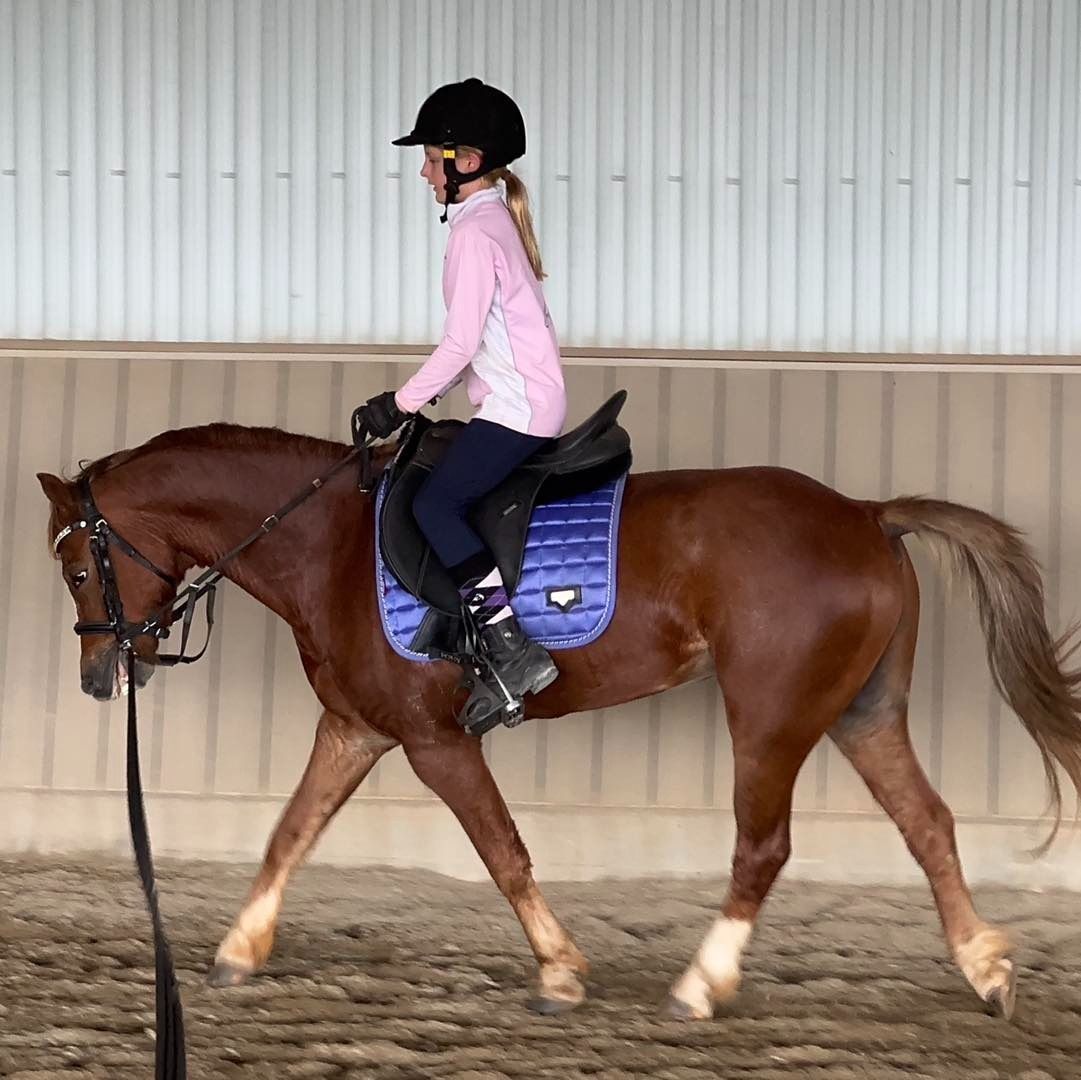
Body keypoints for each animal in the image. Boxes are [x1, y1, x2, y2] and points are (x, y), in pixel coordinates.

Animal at [37, 418, 1081, 1022]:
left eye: (79, 566)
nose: (98, 676)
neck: (324, 543)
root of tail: (868, 513)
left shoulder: (434, 742)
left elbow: (502, 851)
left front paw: (561, 970)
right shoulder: (355, 729)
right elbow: (289, 833)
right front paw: (237, 951)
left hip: (772, 714)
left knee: (763, 847)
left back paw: (701, 985)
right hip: (862, 711)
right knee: (926, 823)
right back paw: (983, 968)